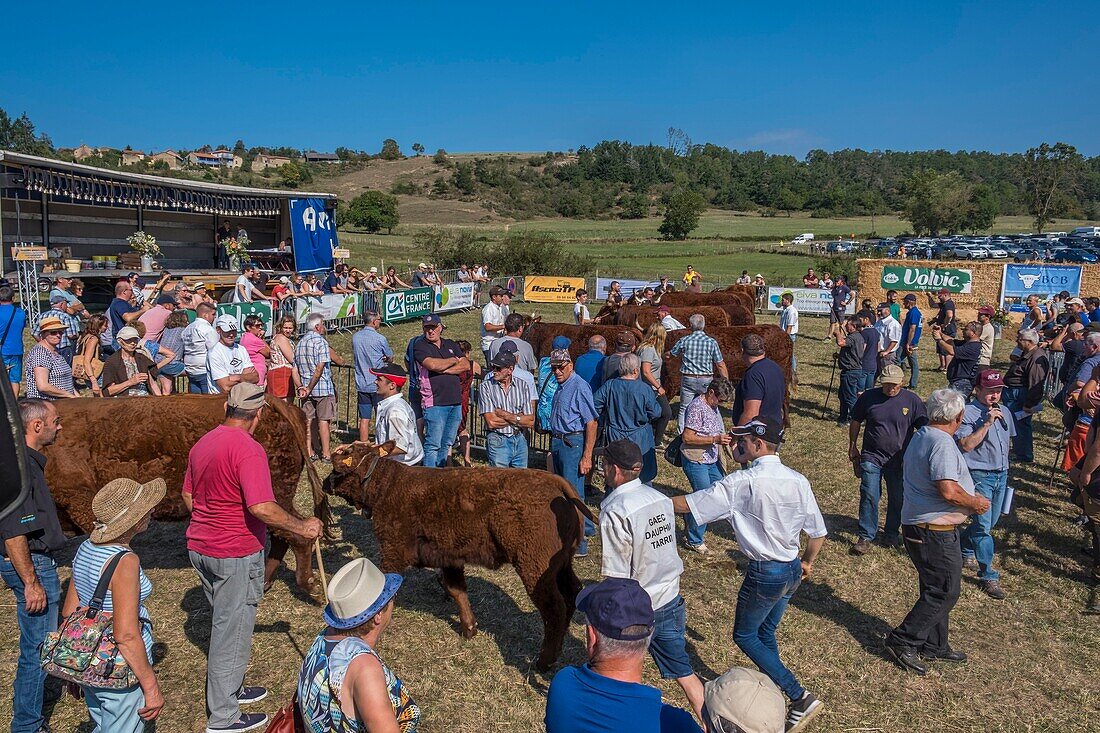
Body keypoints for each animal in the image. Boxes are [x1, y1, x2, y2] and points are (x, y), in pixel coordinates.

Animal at [45, 394, 325, 589]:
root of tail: (273, 403)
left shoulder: (80, 502)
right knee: (286, 533)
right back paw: (265, 582)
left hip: (272, 496)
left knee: (297, 535)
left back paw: (308, 584)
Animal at [323, 440, 594, 669]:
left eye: (338, 467)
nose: (326, 483)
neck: (388, 485)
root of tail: (556, 483)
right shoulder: (448, 556)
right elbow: (457, 590)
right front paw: (469, 627)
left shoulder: (393, 550)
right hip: (561, 564)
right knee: (572, 593)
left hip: (534, 566)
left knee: (554, 607)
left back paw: (544, 661)